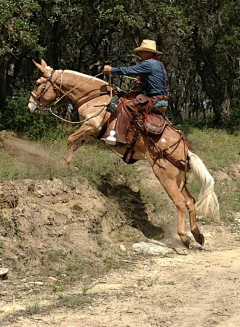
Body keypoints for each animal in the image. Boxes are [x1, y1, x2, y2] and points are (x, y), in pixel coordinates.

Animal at [27, 59, 219, 249]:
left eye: (38, 83)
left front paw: (64, 163)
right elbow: (74, 144)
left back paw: (184, 237)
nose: (30, 106)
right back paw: (197, 234)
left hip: (166, 177)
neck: (95, 98)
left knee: (180, 203)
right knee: (190, 201)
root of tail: (185, 148)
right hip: (179, 179)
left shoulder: (91, 126)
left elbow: (70, 139)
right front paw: (66, 163)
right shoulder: (91, 134)